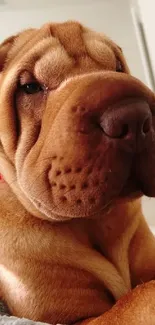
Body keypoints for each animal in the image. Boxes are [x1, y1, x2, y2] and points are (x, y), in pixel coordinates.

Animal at [0, 20, 155, 324]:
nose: (133, 116)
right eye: (30, 87)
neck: (93, 222)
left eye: (118, 67)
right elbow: (137, 298)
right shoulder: (77, 319)